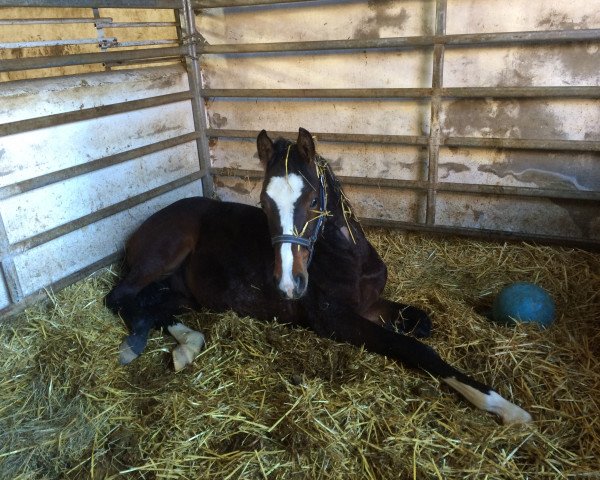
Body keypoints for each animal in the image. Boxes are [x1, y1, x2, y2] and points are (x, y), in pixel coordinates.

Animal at [105, 127, 532, 424]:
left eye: (312, 200)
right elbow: (413, 347)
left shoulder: (369, 304)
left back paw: (187, 344)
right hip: (166, 253)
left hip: (181, 292)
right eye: (263, 202)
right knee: (119, 297)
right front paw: (502, 405)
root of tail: (143, 227)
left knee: (152, 305)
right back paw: (138, 345)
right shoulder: (335, 319)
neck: (349, 259)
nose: (288, 284)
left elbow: (421, 323)